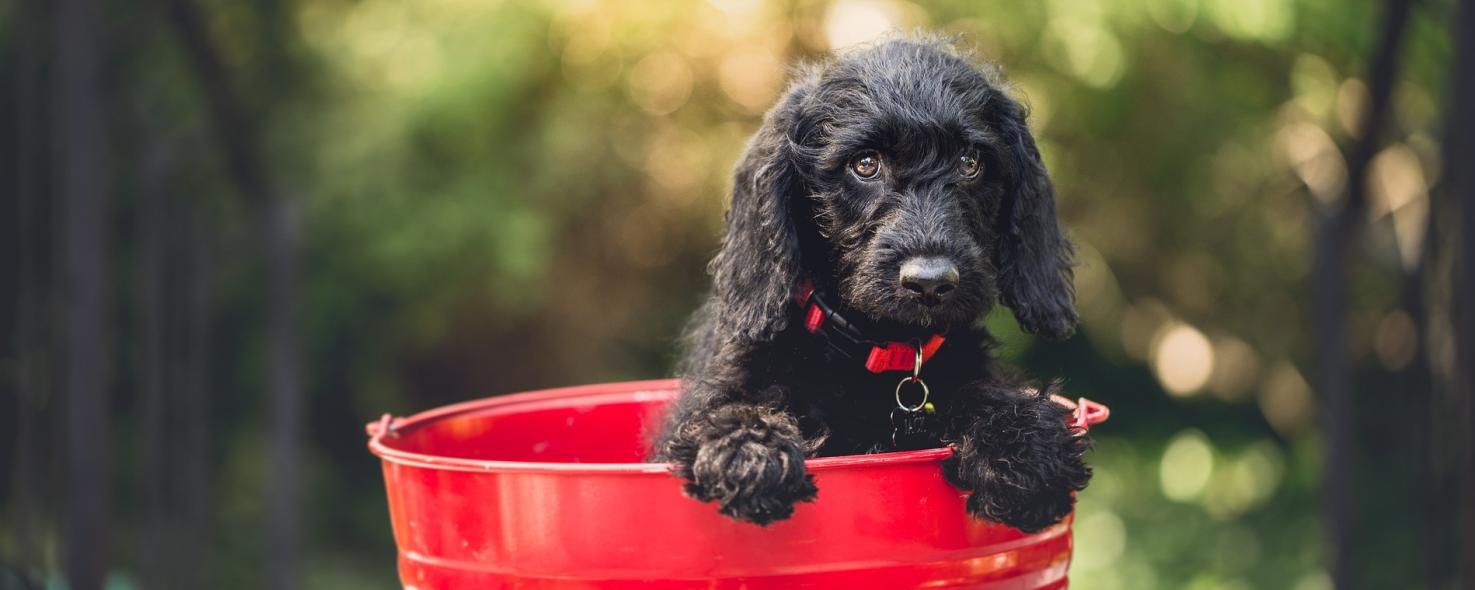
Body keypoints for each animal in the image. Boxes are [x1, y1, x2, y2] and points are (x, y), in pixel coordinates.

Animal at [651, 37, 1091, 533]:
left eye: (971, 162)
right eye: (864, 165)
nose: (930, 282)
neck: (879, 348)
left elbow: (984, 392)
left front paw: (1024, 445)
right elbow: (727, 409)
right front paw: (748, 451)